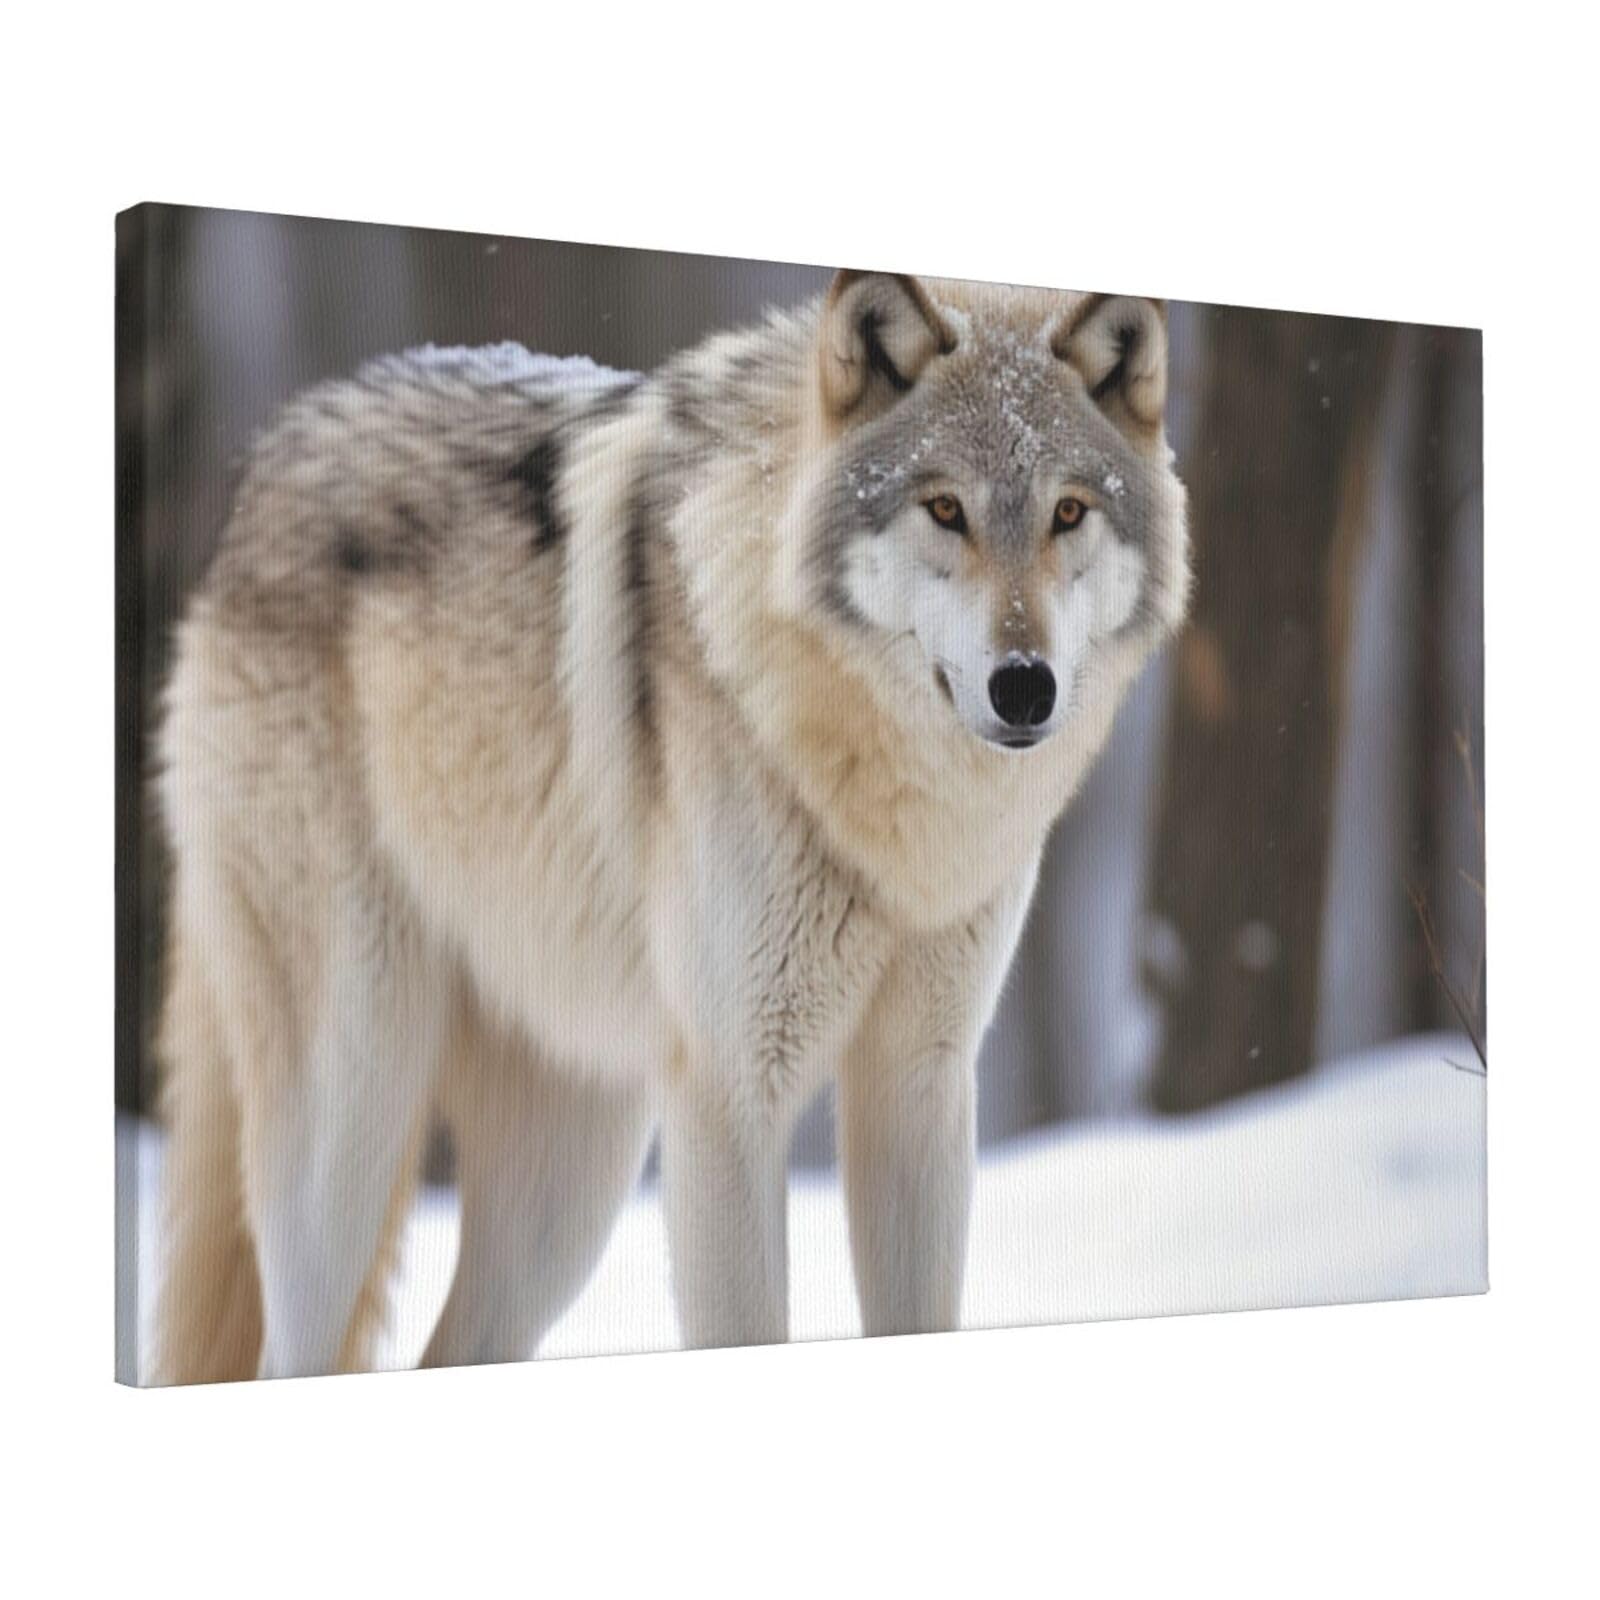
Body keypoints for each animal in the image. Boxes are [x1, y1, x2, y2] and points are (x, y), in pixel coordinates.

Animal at [148, 269, 1189, 1382]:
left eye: (1068, 511)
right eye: (944, 507)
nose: (1025, 686)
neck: (893, 817)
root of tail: (261, 469)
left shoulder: (921, 1089)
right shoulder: (732, 1095)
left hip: (571, 1186)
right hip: (352, 1116)